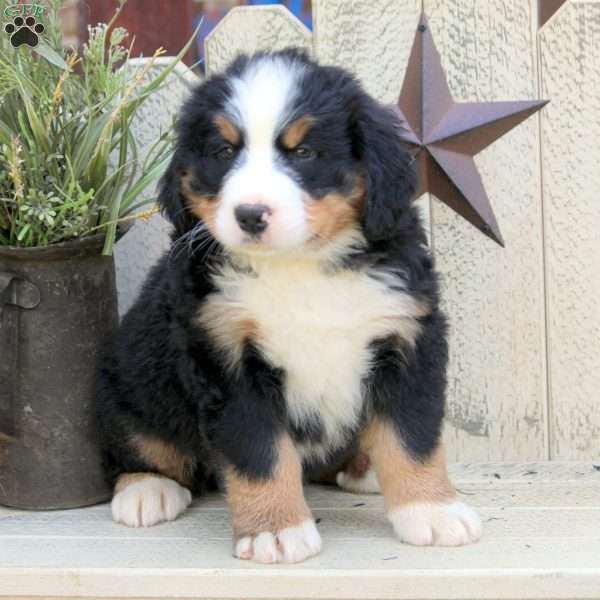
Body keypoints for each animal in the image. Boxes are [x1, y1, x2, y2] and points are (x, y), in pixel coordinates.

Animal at [98, 48, 482, 564]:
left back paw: (362, 465)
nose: (250, 214)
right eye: (224, 152)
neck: (299, 266)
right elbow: (260, 453)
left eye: (303, 153)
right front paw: (274, 529)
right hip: (131, 381)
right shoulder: (226, 360)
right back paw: (148, 489)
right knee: (139, 443)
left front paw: (431, 509)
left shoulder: (408, 338)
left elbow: (411, 437)